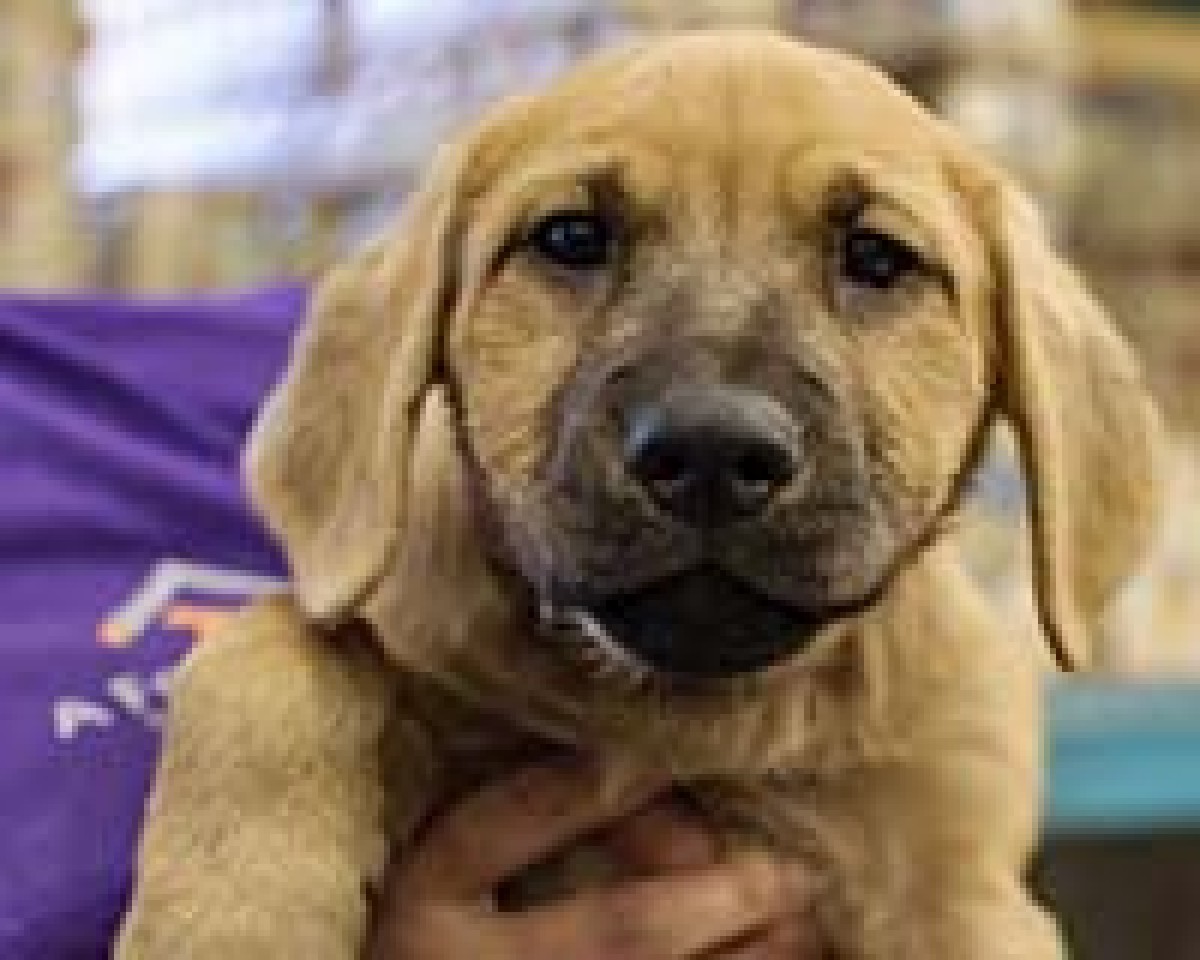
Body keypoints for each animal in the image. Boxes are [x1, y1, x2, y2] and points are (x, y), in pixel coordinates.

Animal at [115, 30, 1163, 959]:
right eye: (572, 237)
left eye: (876, 258)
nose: (711, 454)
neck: (694, 721)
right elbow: (278, 644)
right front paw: (229, 924)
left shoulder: (960, 895)